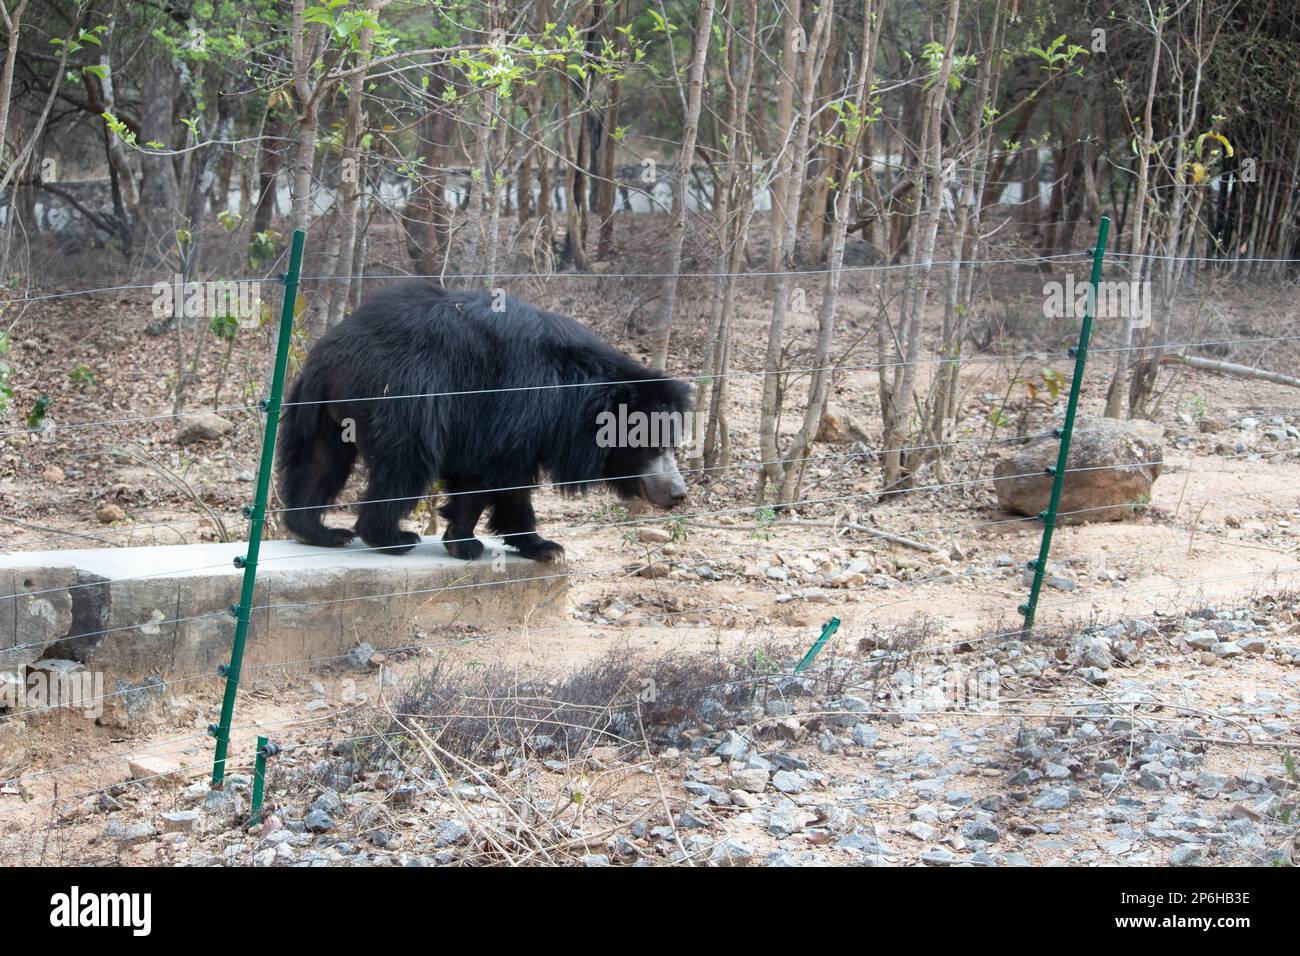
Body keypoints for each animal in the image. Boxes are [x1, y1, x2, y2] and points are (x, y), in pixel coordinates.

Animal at [276, 280, 691, 561]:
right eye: (650, 447)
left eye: (671, 444)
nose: (677, 493)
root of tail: (335, 354)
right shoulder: (510, 406)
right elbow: (483, 474)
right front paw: (466, 545)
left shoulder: (530, 431)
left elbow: (511, 485)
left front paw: (542, 546)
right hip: (403, 398)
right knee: (404, 465)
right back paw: (391, 538)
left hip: (320, 409)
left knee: (319, 461)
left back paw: (319, 531)